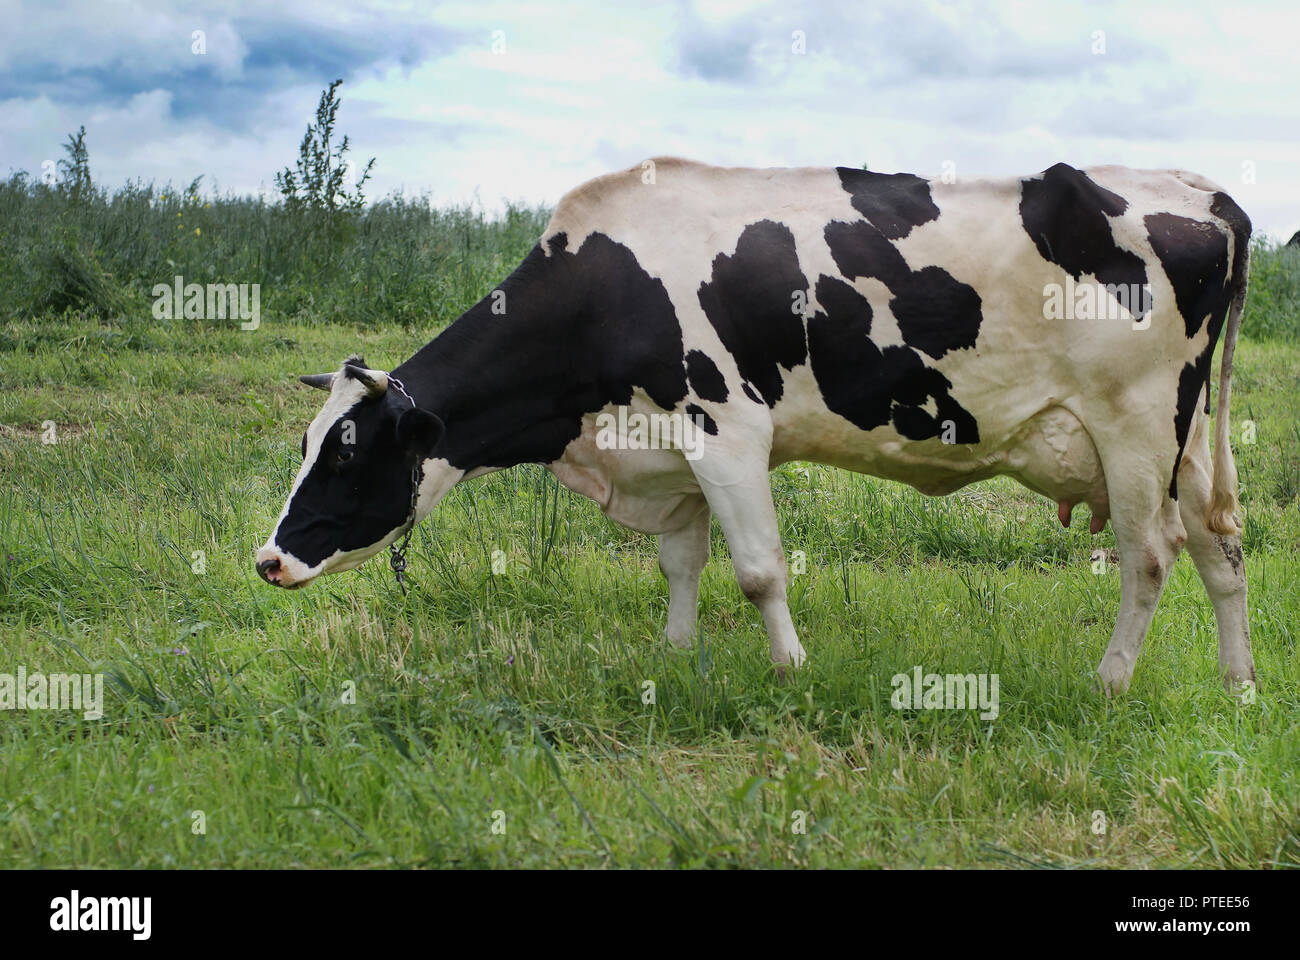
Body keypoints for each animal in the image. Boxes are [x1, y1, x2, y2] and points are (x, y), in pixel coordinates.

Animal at [256, 158, 1254, 694]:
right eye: (306, 444)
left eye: (345, 455)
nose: (268, 559)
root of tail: (1204, 191)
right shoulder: (672, 445)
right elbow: (682, 562)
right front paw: (677, 653)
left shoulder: (725, 426)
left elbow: (759, 569)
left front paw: (789, 669)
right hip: (1189, 435)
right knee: (1221, 544)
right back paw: (1238, 683)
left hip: (1134, 422)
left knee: (1152, 553)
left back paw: (1112, 680)